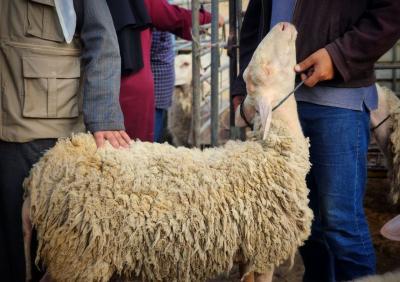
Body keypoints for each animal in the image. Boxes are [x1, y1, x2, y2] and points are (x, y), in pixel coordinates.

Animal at [21, 22, 312, 282]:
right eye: (267, 69)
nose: (284, 24)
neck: (272, 153)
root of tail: (41, 172)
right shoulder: (266, 252)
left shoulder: (249, 254)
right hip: (78, 255)